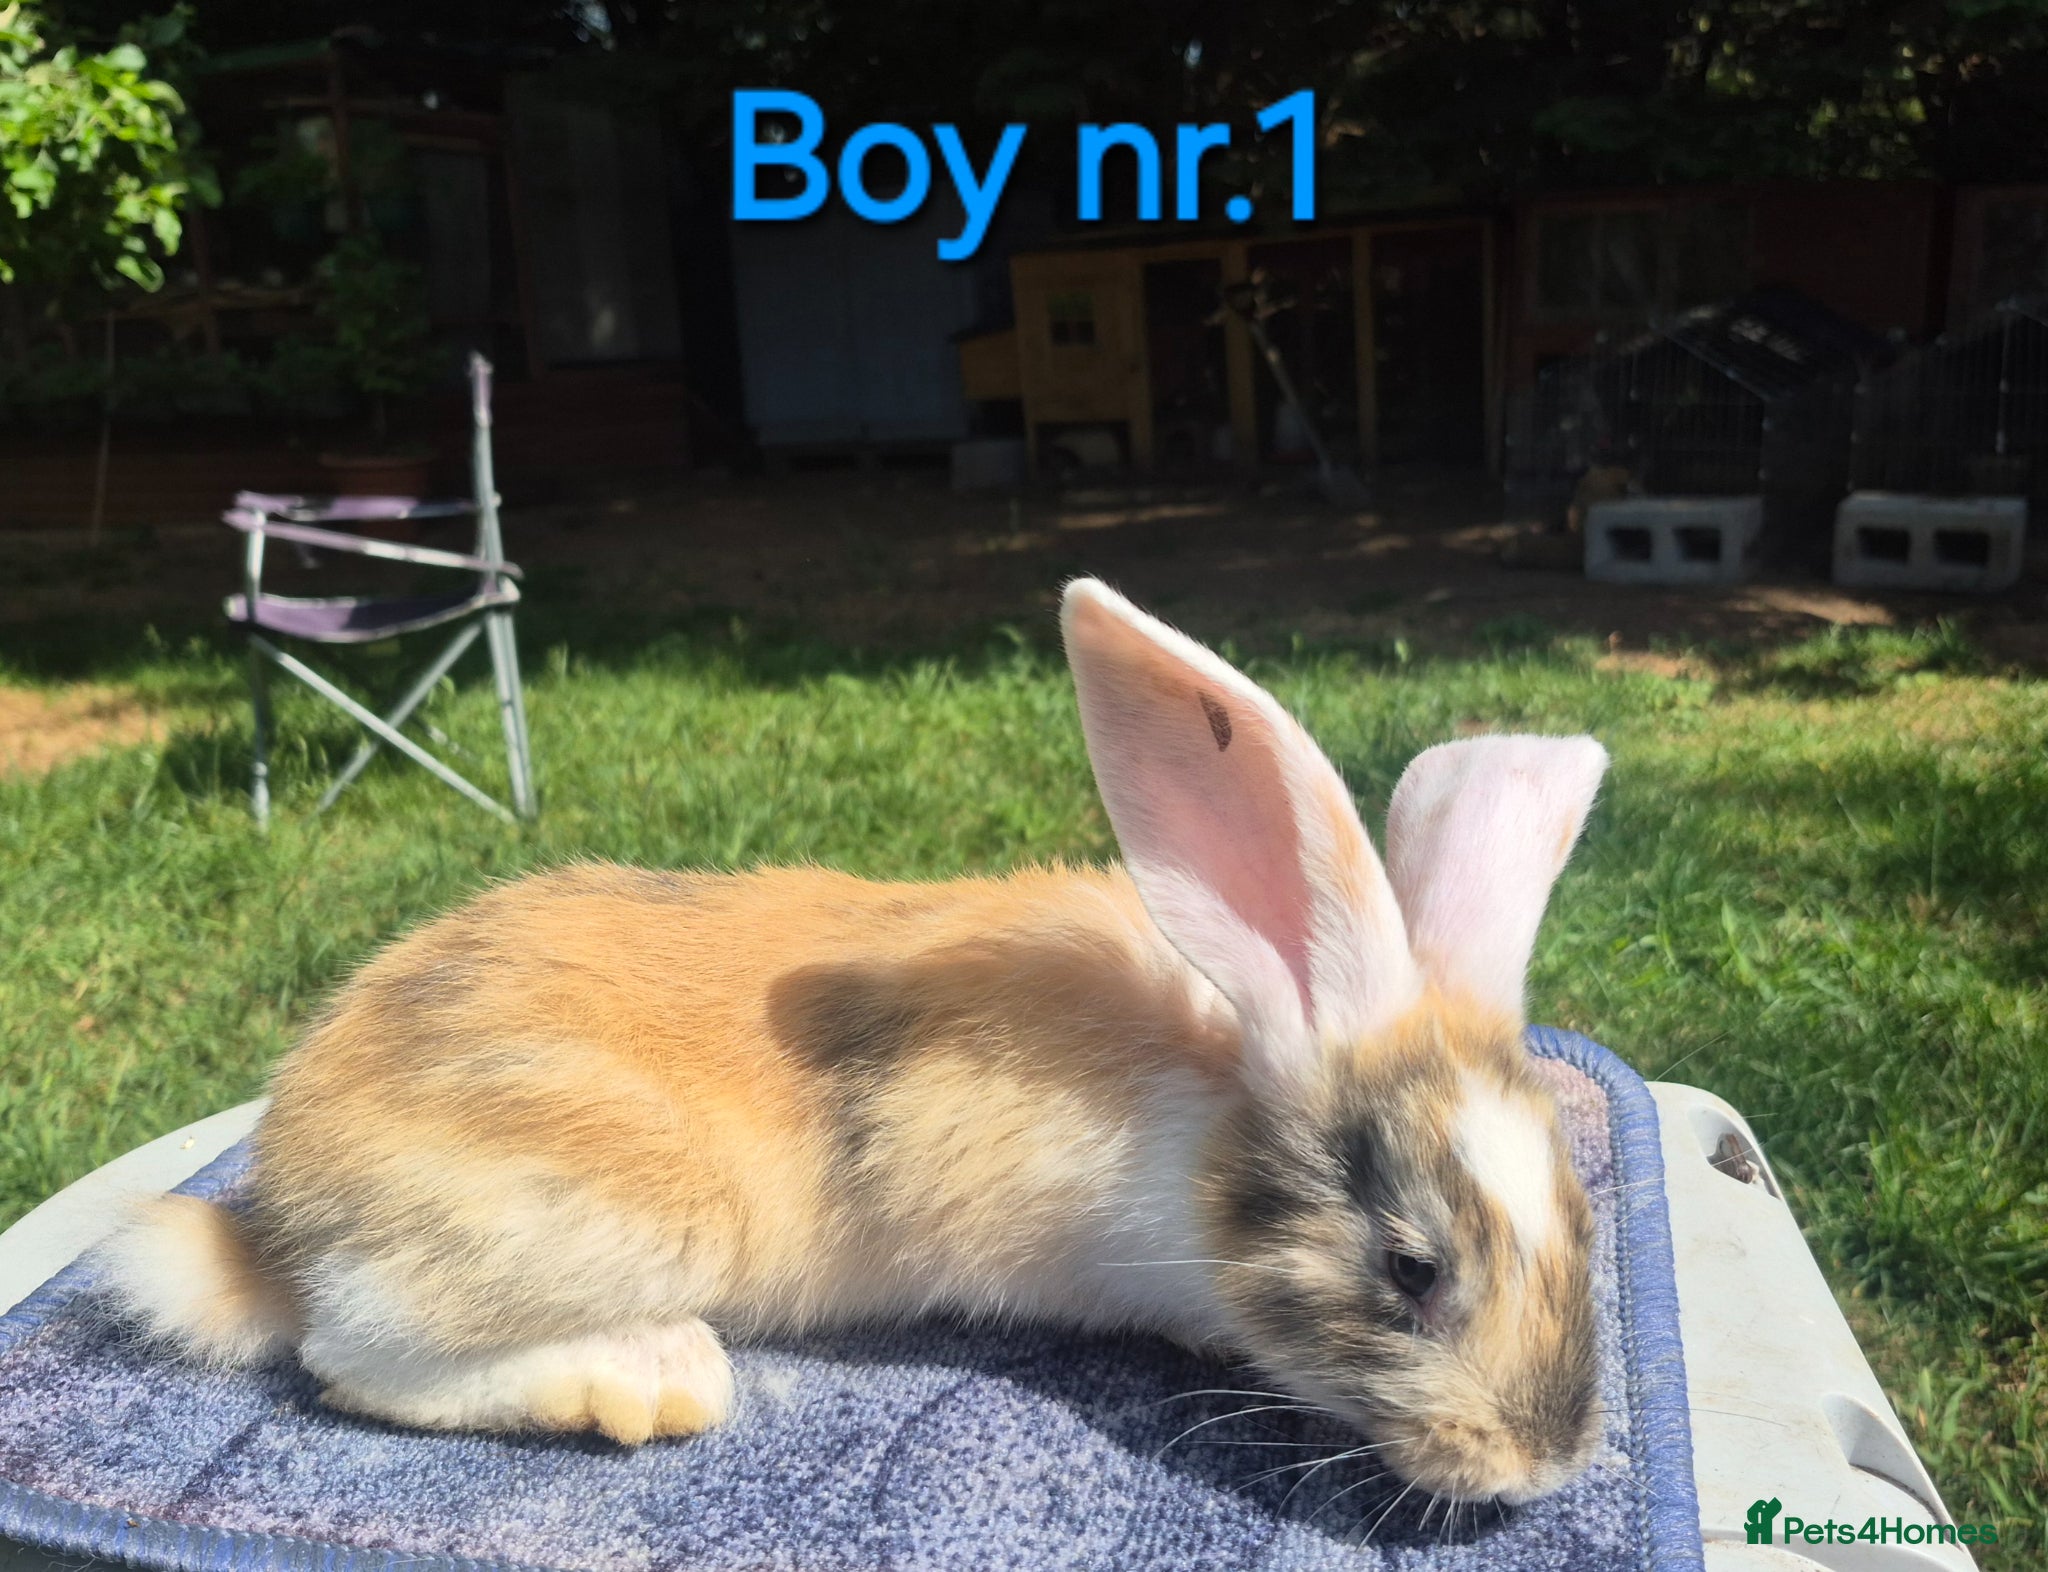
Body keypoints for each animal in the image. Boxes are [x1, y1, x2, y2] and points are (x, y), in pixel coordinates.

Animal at [99, 578, 1609, 1506]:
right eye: (1412, 1268)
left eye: (1583, 1221)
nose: (1543, 1464)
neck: (1211, 1107)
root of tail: (282, 1211)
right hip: (613, 1218)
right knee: (347, 1356)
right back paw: (650, 1376)